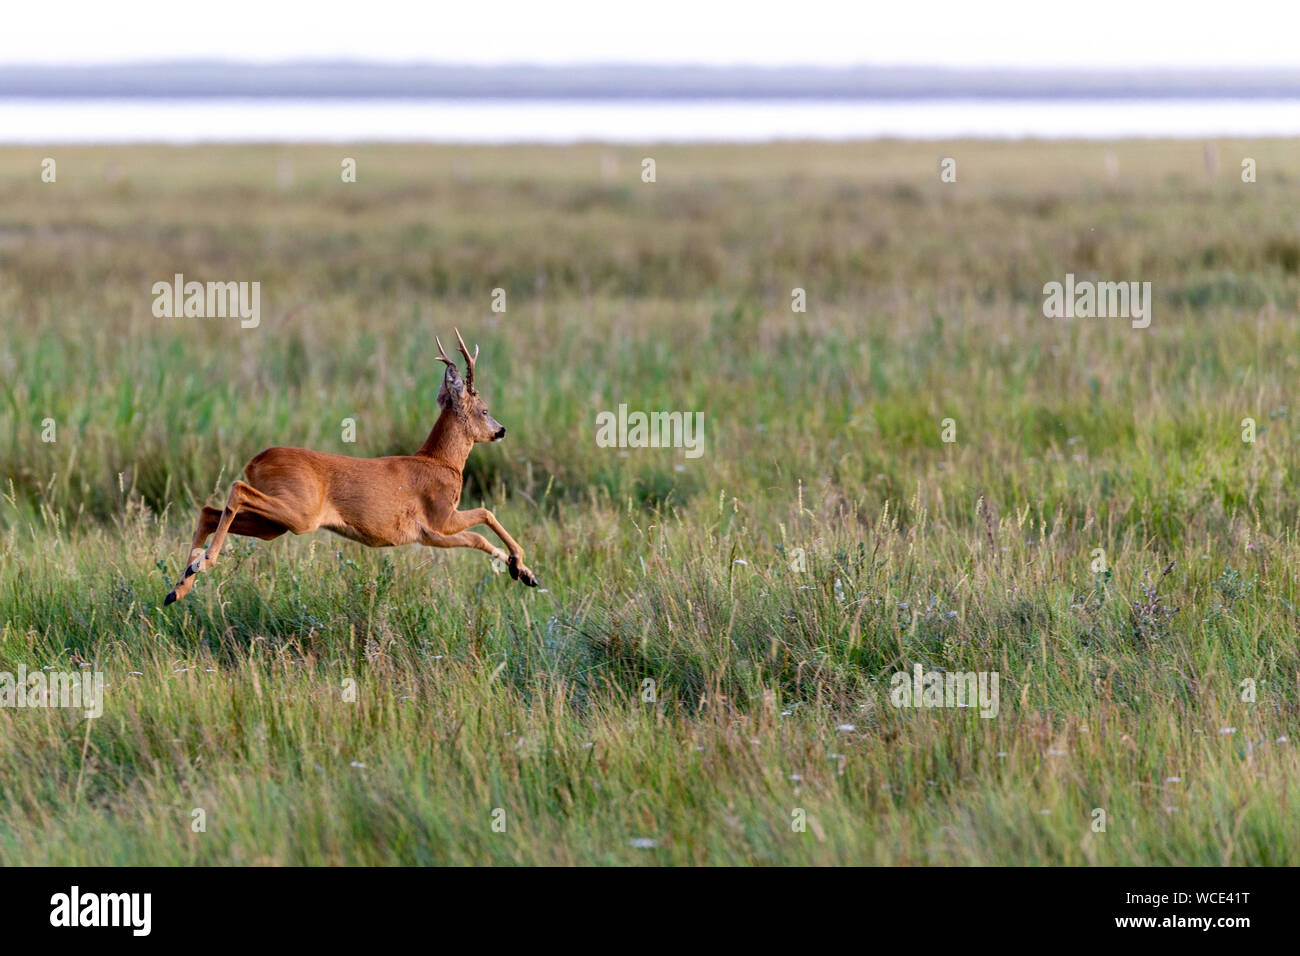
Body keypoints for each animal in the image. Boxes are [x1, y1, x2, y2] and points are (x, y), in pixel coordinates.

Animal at [163, 329, 538, 606]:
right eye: (485, 409)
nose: (501, 430)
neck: (440, 462)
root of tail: (256, 460)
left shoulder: (430, 534)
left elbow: (477, 537)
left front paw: (522, 572)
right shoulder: (439, 518)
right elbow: (484, 518)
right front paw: (520, 564)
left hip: (275, 523)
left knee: (209, 510)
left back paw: (179, 586)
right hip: (299, 512)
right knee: (236, 491)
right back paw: (201, 564)